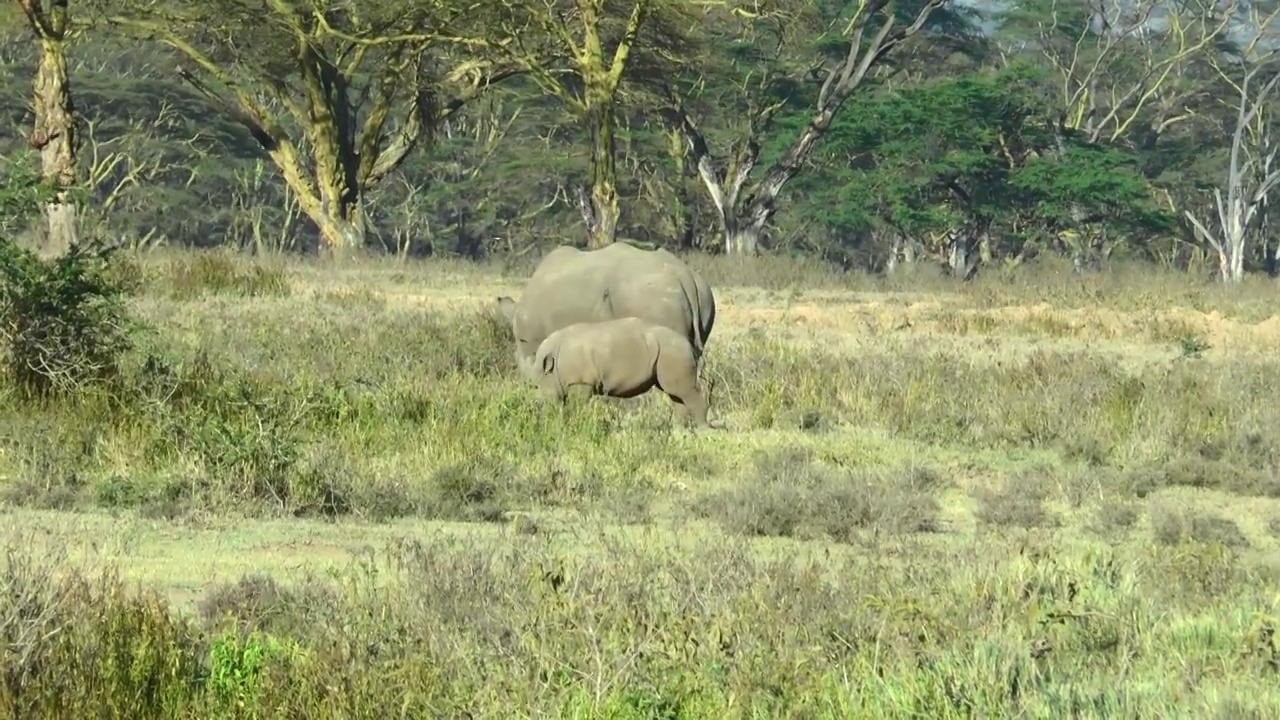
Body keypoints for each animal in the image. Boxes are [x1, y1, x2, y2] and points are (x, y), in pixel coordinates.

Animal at [527, 315, 711, 425]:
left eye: (536, 387)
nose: (533, 410)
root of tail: (688, 344)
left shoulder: (581, 381)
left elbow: (576, 406)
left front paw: (575, 423)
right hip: (667, 351)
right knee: (676, 393)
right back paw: (677, 431)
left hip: (674, 351)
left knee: (684, 391)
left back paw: (702, 431)